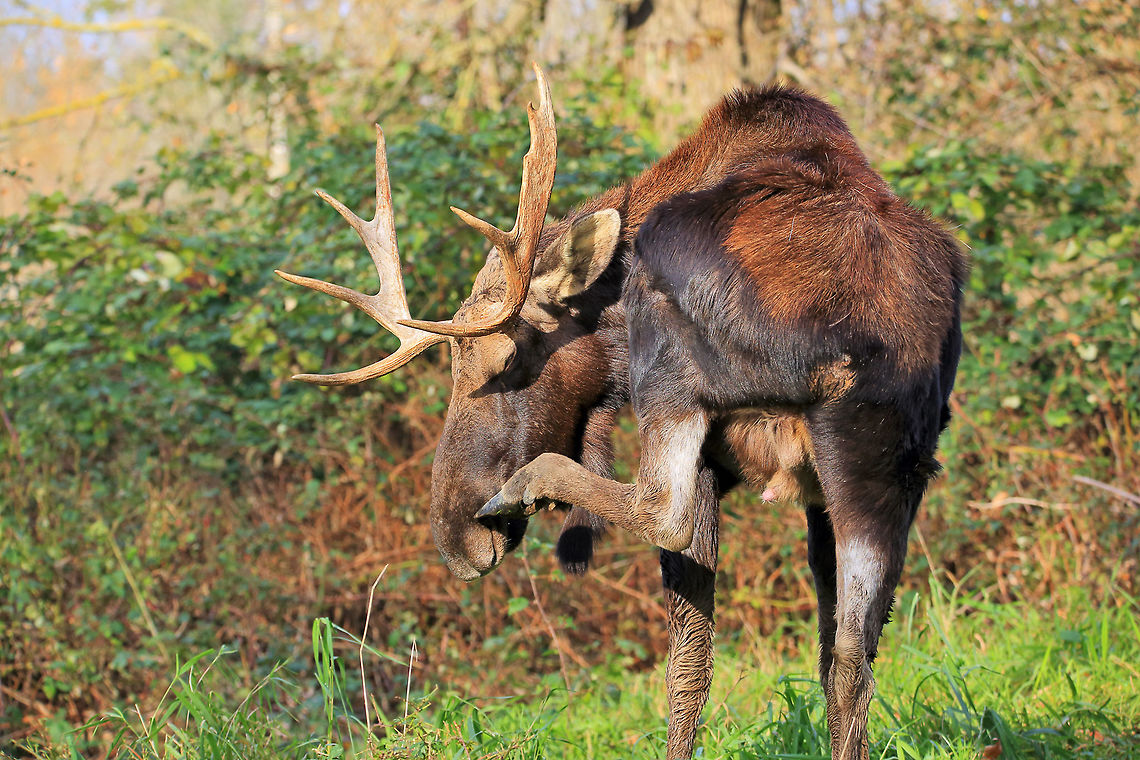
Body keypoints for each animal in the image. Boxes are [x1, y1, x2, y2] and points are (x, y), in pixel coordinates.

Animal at [275, 64, 966, 760]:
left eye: (507, 355)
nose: (455, 538)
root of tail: (853, 339)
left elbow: (687, 659)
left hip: (675, 378)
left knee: (663, 513)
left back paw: (524, 487)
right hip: (880, 463)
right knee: (852, 658)